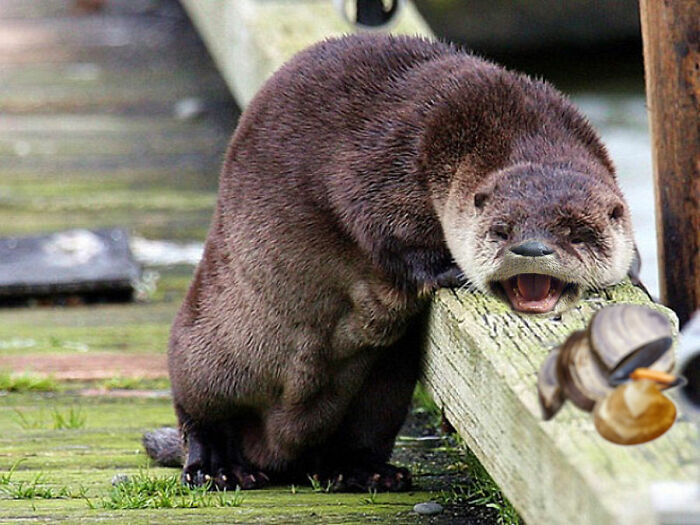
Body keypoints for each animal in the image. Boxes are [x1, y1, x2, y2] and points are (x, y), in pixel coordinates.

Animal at [145, 34, 637, 492]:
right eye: (501, 229)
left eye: (577, 232)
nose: (531, 250)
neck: (512, 123)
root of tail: (274, 450)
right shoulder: (386, 159)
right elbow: (381, 229)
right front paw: (448, 269)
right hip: (207, 346)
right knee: (197, 411)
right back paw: (217, 467)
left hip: (383, 389)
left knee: (357, 436)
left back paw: (366, 472)